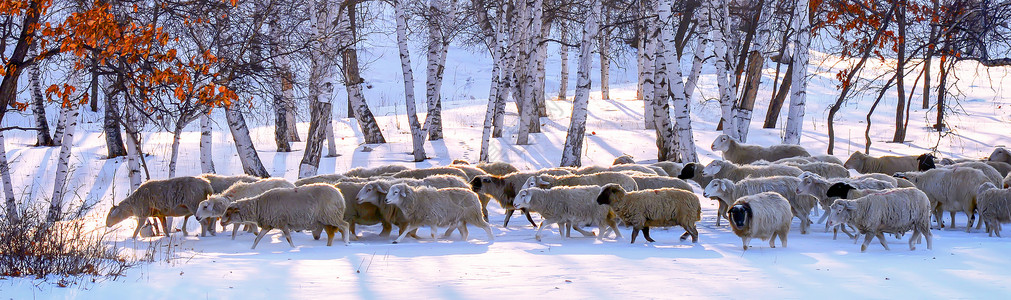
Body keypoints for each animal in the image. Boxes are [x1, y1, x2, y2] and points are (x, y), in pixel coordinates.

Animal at [219, 181, 349, 247]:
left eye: (228, 212)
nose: (221, 223)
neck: (258, 207)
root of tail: (340, 195)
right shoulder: (268, 224)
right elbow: (257, 238)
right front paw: (252, 249)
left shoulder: (282, 223)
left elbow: (288, 238)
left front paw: (293, 248)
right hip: (327, 218)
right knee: (333, 233)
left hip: (331, 215)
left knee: (345, 226)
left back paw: (346, 243)